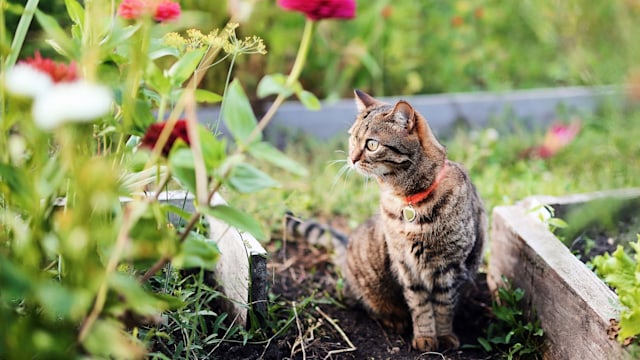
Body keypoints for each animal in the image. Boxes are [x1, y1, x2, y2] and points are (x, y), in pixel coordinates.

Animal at [284, 89, 484, 352]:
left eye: (371, 144)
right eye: (353, 139)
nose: (351, 158)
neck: (410, 202)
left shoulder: (449, 267)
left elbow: (443, 306)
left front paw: (444, 336)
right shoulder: (406, 266)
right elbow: (420, 305)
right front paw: (425, 337)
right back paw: (393, 319)